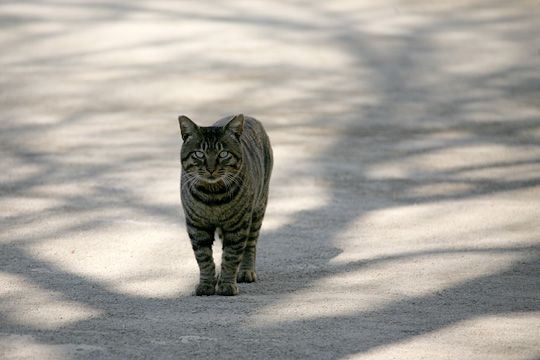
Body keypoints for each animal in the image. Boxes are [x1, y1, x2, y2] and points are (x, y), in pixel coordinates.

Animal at [178, 114, 272, 296]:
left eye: (223, 154)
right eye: (199, 154)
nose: (211, 169)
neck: (213, 195)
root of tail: (251, 117)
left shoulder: (237, 226)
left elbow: (231, 256)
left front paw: (227, 284)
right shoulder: (196, 226)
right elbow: (204, 258)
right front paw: (207, 284)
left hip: (257, 210)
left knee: (250, 245)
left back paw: (245, 271)